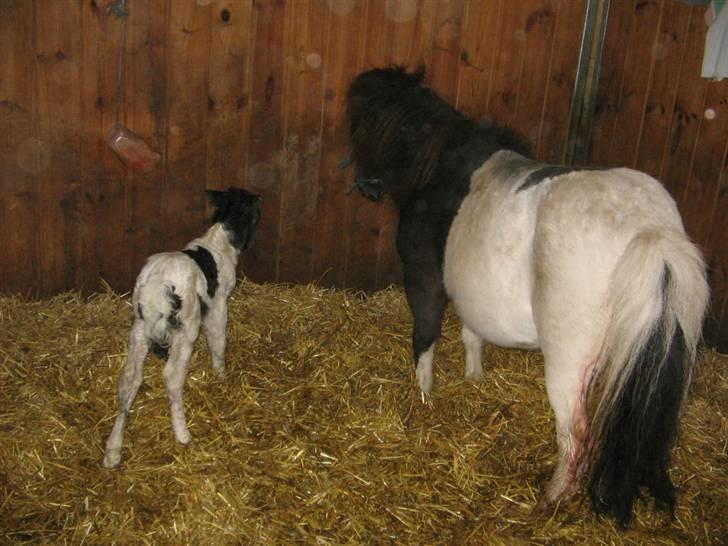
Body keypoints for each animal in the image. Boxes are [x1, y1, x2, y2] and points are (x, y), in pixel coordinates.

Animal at [102, 187, 262, 468]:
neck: (218, 242)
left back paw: (113, 449)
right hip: (186, 328)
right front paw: (220, 374)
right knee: (172, 375)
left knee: (129, 378)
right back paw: (182, 432)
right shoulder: (218, 302)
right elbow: (218, 339)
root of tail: (157, 287)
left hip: (139, 327)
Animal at [348, 66, 712, 524]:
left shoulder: (425, 282)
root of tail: (649, 230)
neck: (435, 164)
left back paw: (551, 499)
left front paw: (424, 394)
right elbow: (472, 334)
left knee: (575, 435)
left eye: (360, 125)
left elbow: (425, 339)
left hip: (568, 366)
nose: (367, 185)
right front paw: (474, 378)